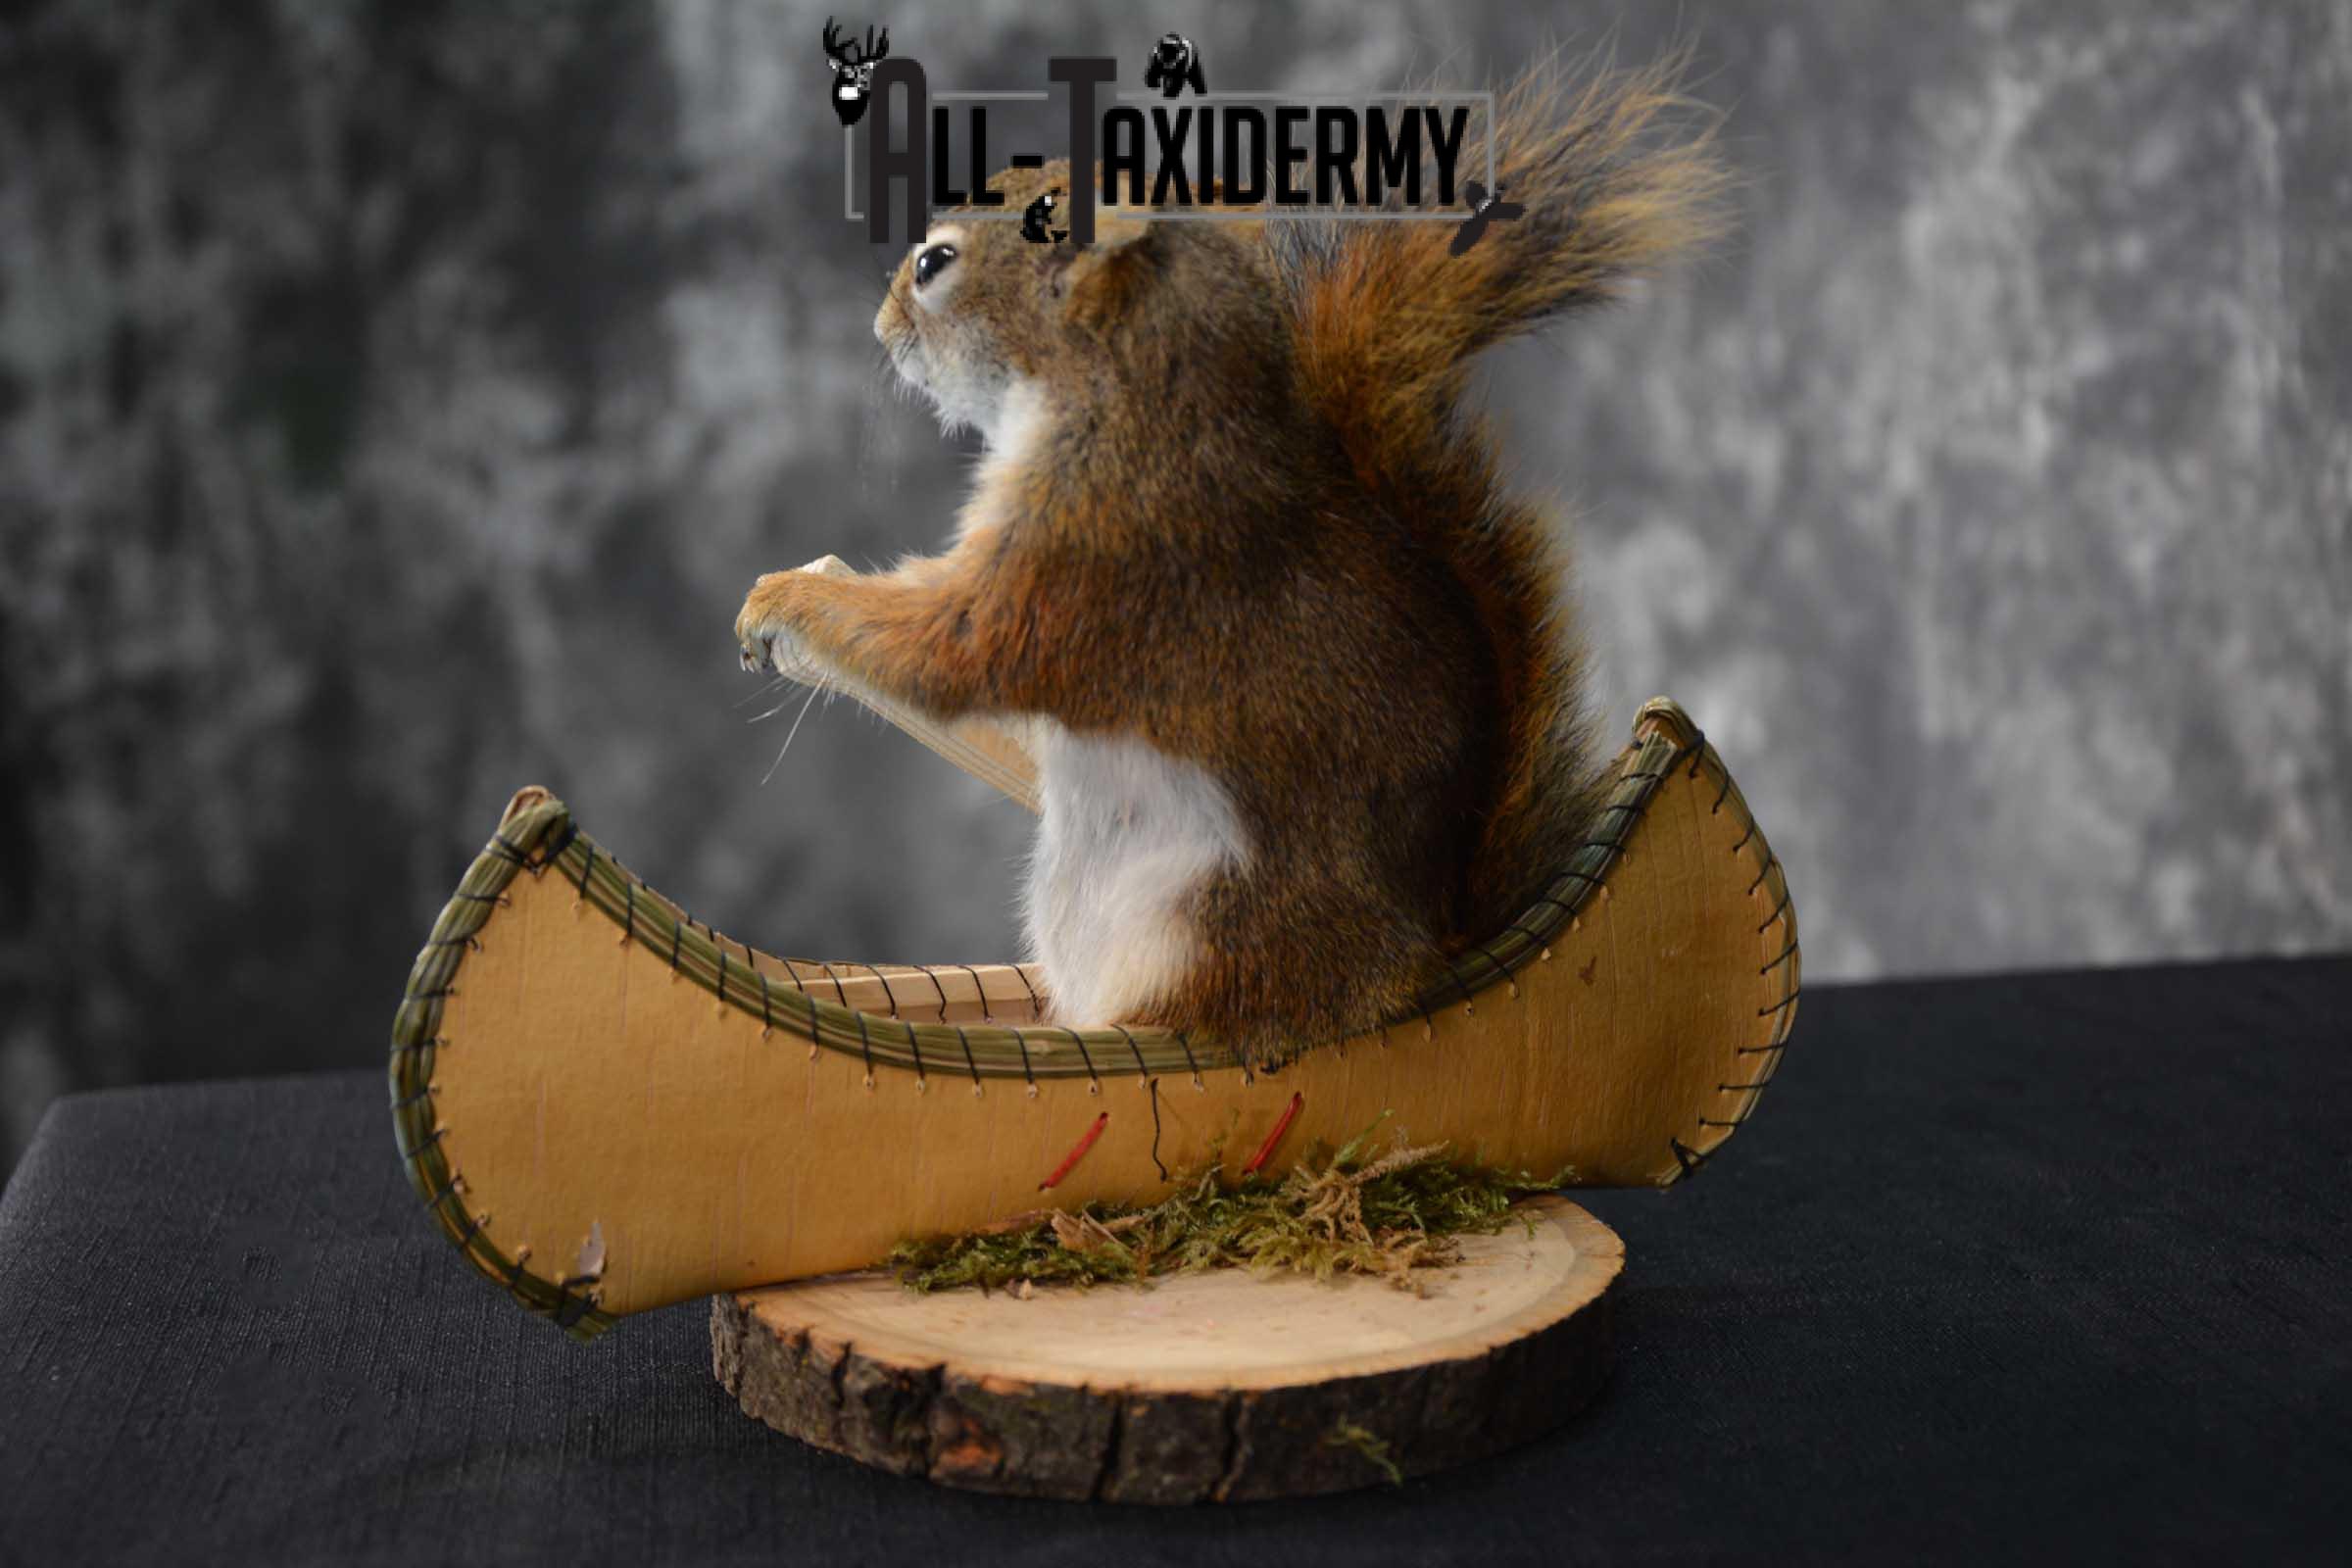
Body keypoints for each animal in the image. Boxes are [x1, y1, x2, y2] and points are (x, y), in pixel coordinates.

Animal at [736, 58, 1725, 1066]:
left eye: (936, 264)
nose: (880, 325)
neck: (1133, 387)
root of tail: (1413, 961)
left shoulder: (1095, 540)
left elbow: (958, 647)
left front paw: (785, 602)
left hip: (1200, 923)